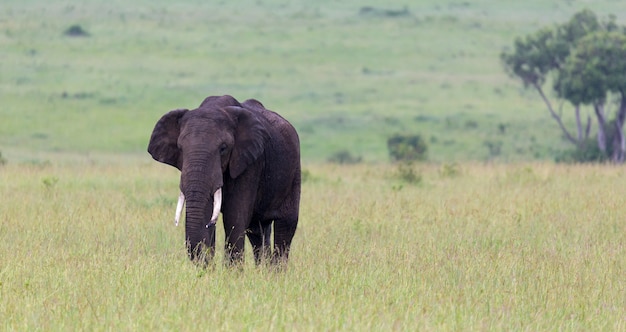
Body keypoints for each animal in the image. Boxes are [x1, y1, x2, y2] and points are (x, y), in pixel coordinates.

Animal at [149, 95, 300, 264]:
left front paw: (232, 271)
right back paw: (263, 268)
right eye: (180, 148)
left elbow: (234, 217)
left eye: (223, 148)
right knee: (258, 231)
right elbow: (207, 213)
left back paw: (276, 269)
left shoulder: (250, 163)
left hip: (294, 171)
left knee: (286, 226)